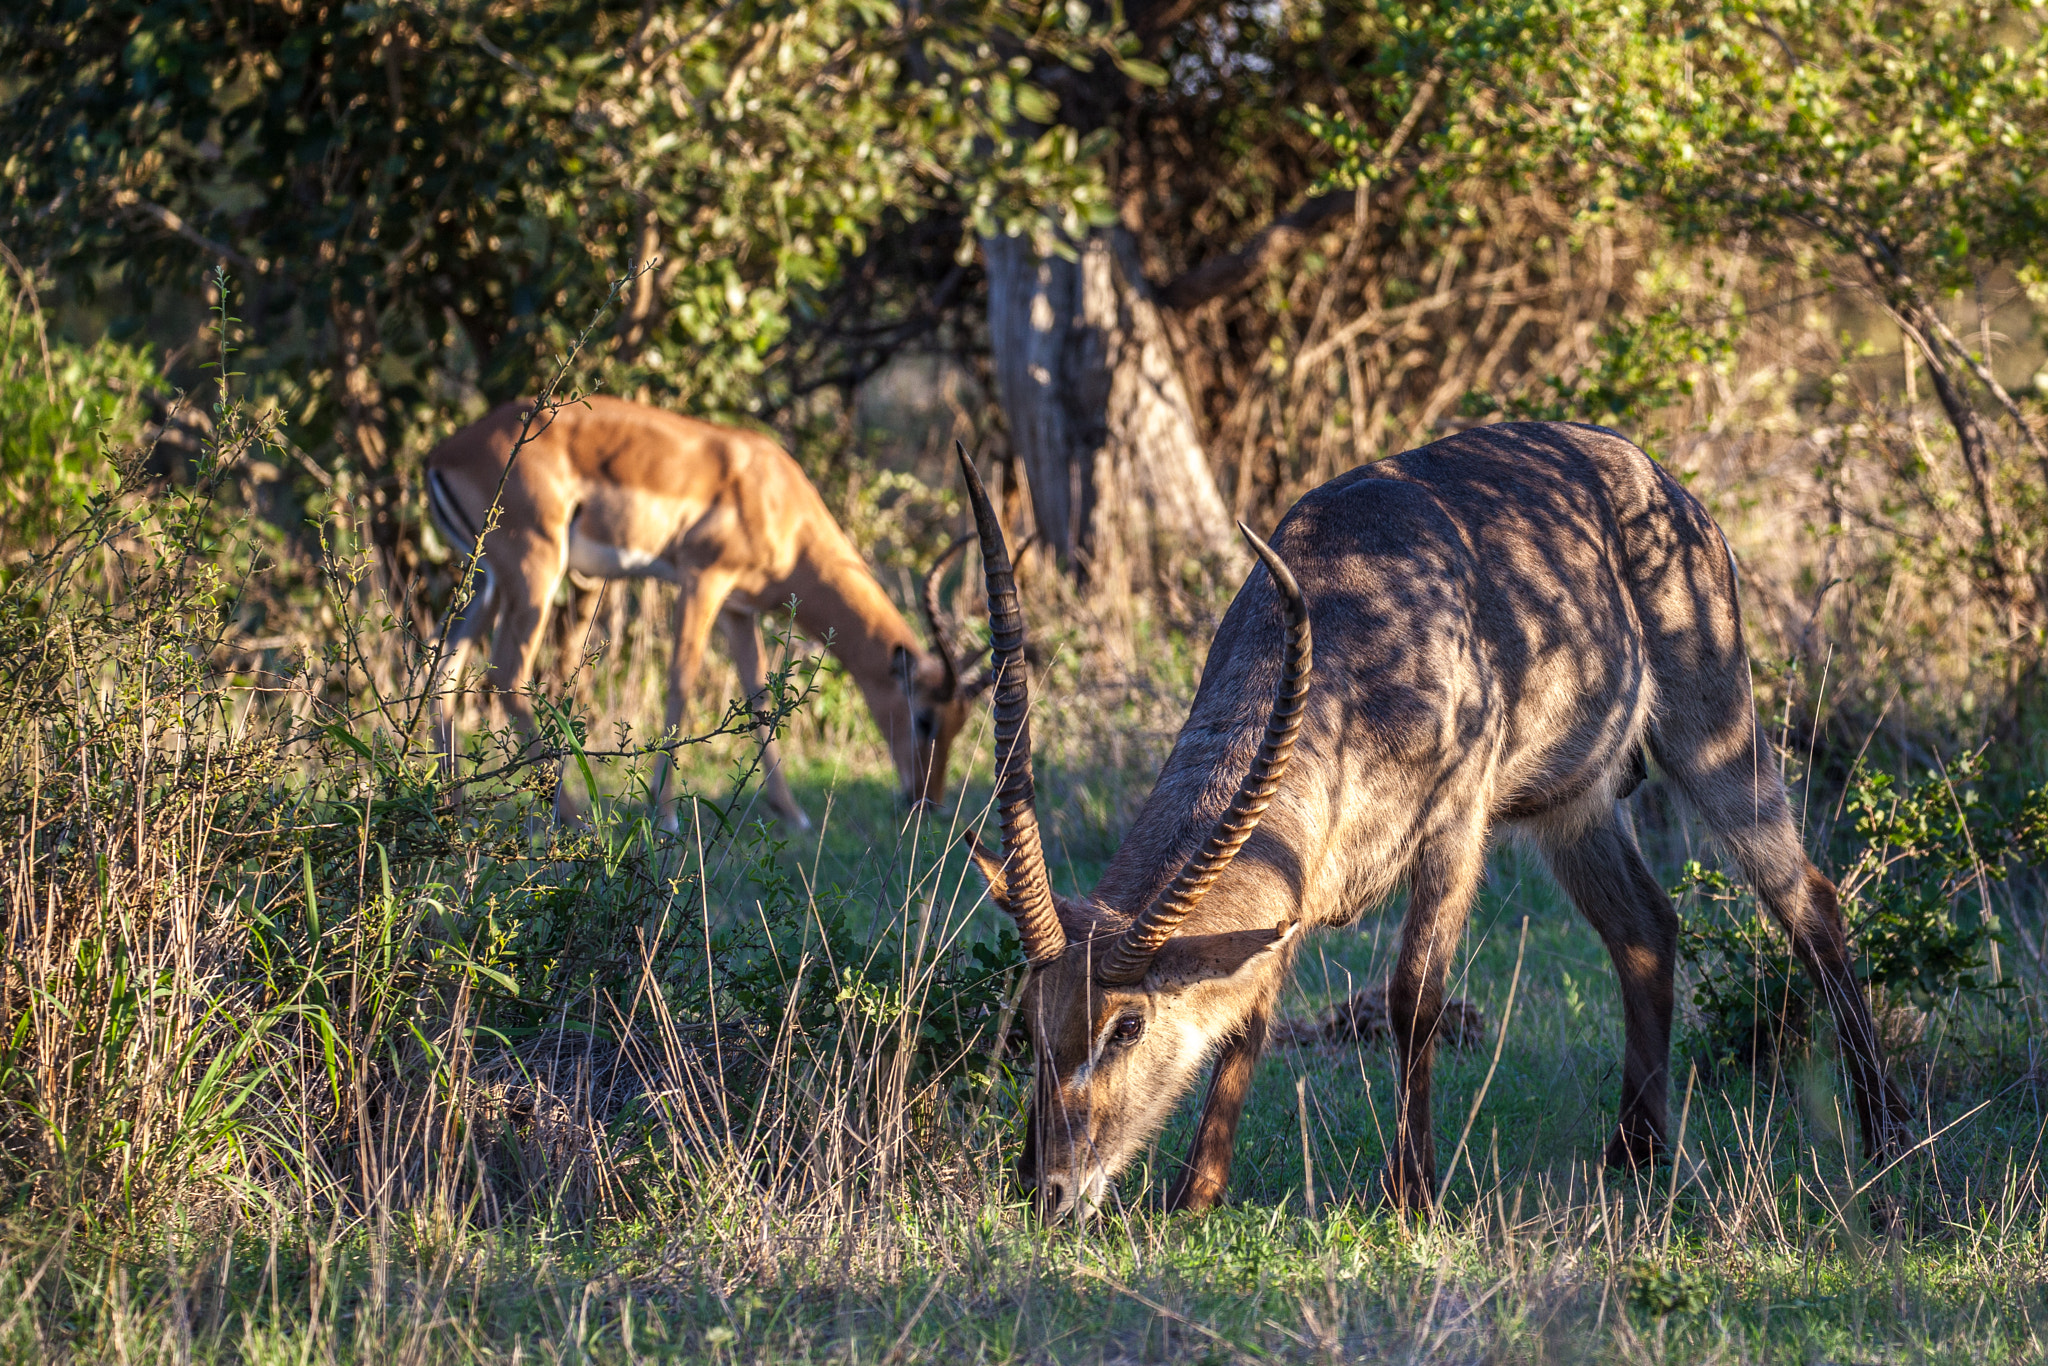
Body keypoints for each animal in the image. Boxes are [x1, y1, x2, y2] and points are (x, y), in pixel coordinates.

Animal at [424, 395, 987, 827]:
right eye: (925, 718)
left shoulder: (739, 609)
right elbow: (683, 681)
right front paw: (666, 814)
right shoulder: (702, 580)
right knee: (506, 674)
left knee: (443, 671)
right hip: (535, 570)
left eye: (961, 723)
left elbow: (760, 697)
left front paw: (793, 814)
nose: (929, 802)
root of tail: (443, 452)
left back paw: (454, 813)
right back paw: (577, 815)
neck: (778, 499)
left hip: (485, 578)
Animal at [956, 423, 1905, 1220]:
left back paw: (1884, 1135)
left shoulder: (1456, 823)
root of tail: (1652, 471)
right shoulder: (1295, 884)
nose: (1046, 1189)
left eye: (1126, 1024)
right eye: (1030, 1018)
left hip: (1713, 728)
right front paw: (1198, 1193)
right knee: (1646, 927)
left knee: (1810, 902)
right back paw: (1634, 1152)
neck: (1343, 622)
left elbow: (1415, 998)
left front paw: (1410, 1191)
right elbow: (1249, 1019)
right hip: (1574, 805)